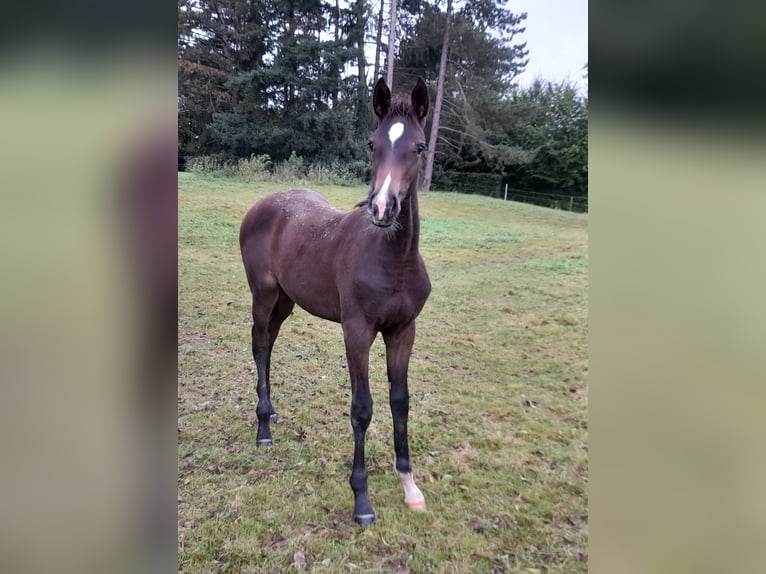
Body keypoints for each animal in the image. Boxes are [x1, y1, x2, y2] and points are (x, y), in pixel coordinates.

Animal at [240, 79, 432, 528]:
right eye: (372, 143)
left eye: (419, 146)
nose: (382, 207)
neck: (393, 257)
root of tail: (262, 204)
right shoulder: (357, 331)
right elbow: (362, 408)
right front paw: (361, 499)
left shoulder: (403, 331)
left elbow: (400, 402)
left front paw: (409, 486)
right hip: (263, 293)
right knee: (259, 344)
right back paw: (262, 427)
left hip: (287, 301)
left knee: (269, 343)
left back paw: (271, 412)